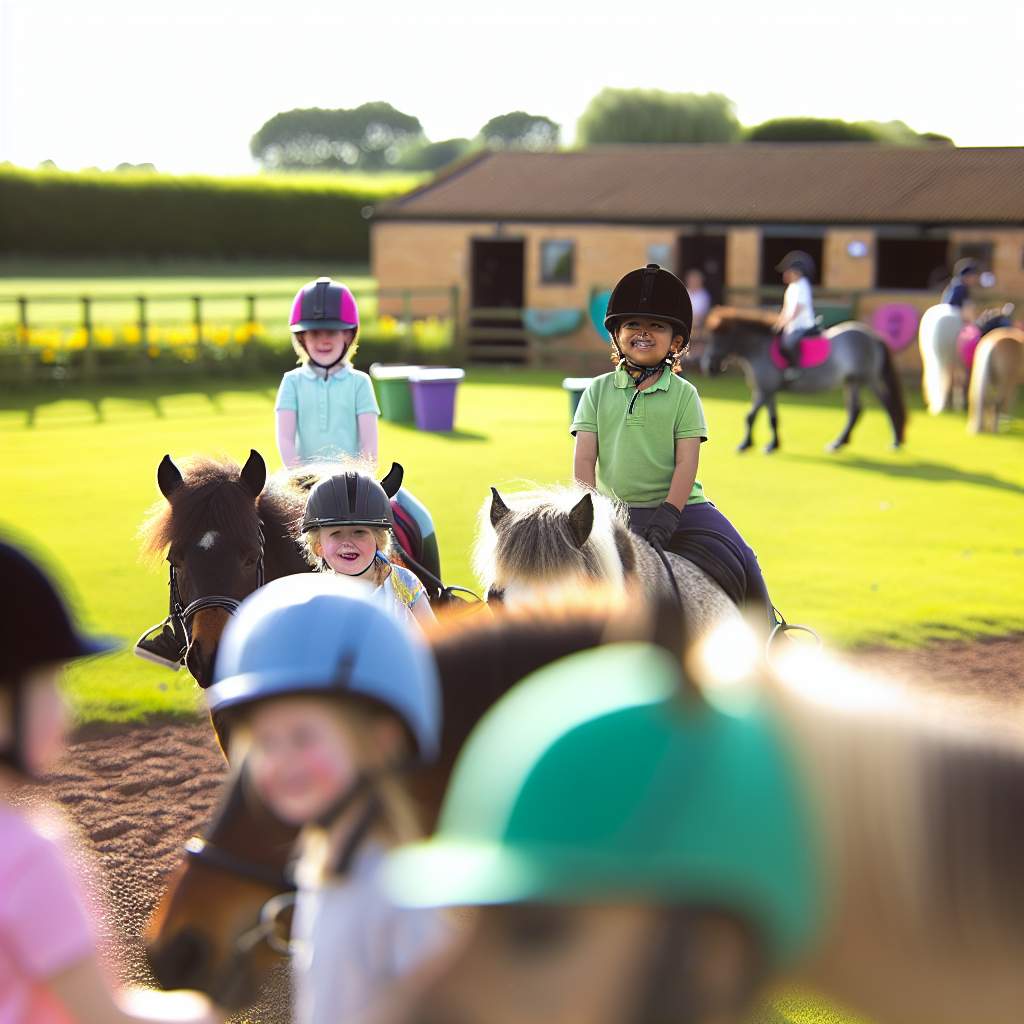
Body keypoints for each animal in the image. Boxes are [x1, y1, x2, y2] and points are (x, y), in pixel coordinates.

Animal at [700, 305, 909, 454]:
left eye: (718, 338)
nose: (708, 367)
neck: (759, 347)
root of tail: (873, 337)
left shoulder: (764, 389)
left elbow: (750, 416)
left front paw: (745, 444)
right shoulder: (768, 390)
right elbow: (772, 418)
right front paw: (773, 445)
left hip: (869, 379)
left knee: (887, 404)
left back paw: (895, 441)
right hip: (852, 381)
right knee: (855, 410)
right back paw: (838, 443)